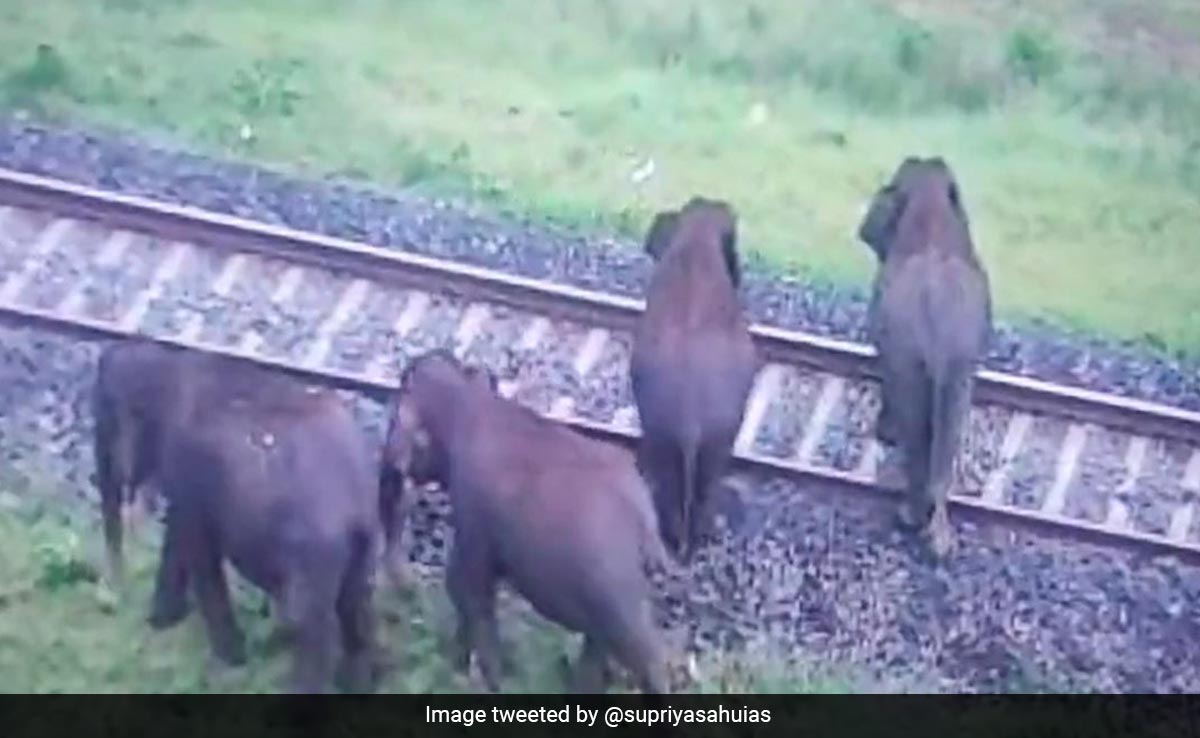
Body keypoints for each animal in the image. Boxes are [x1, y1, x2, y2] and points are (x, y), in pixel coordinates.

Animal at [91, 339, 383, 693]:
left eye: (104, 417)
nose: (110, 598)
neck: (171, 362)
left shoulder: (188, 463)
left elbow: (195, 548)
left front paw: (228, 658)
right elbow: (181, 536)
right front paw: (166, 620)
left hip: (314, 550)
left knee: (310, 620)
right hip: (364, 538)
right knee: (356, 601)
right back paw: (359, 683)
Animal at [380, 349, 673, 694]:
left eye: (393, 419)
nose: (406, 587)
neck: (470, 398)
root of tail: (646, 528)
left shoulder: (472, 506)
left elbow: (467, 584)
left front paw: (484, 678)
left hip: (615, 590)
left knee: (646, 657)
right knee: (598, 647)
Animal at [856, 156, 993, 558]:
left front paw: (884, 434)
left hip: (914, 362)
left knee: (917, 430)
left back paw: (911, 516)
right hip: (958, 368)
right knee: (946, 429)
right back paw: (939, 537)